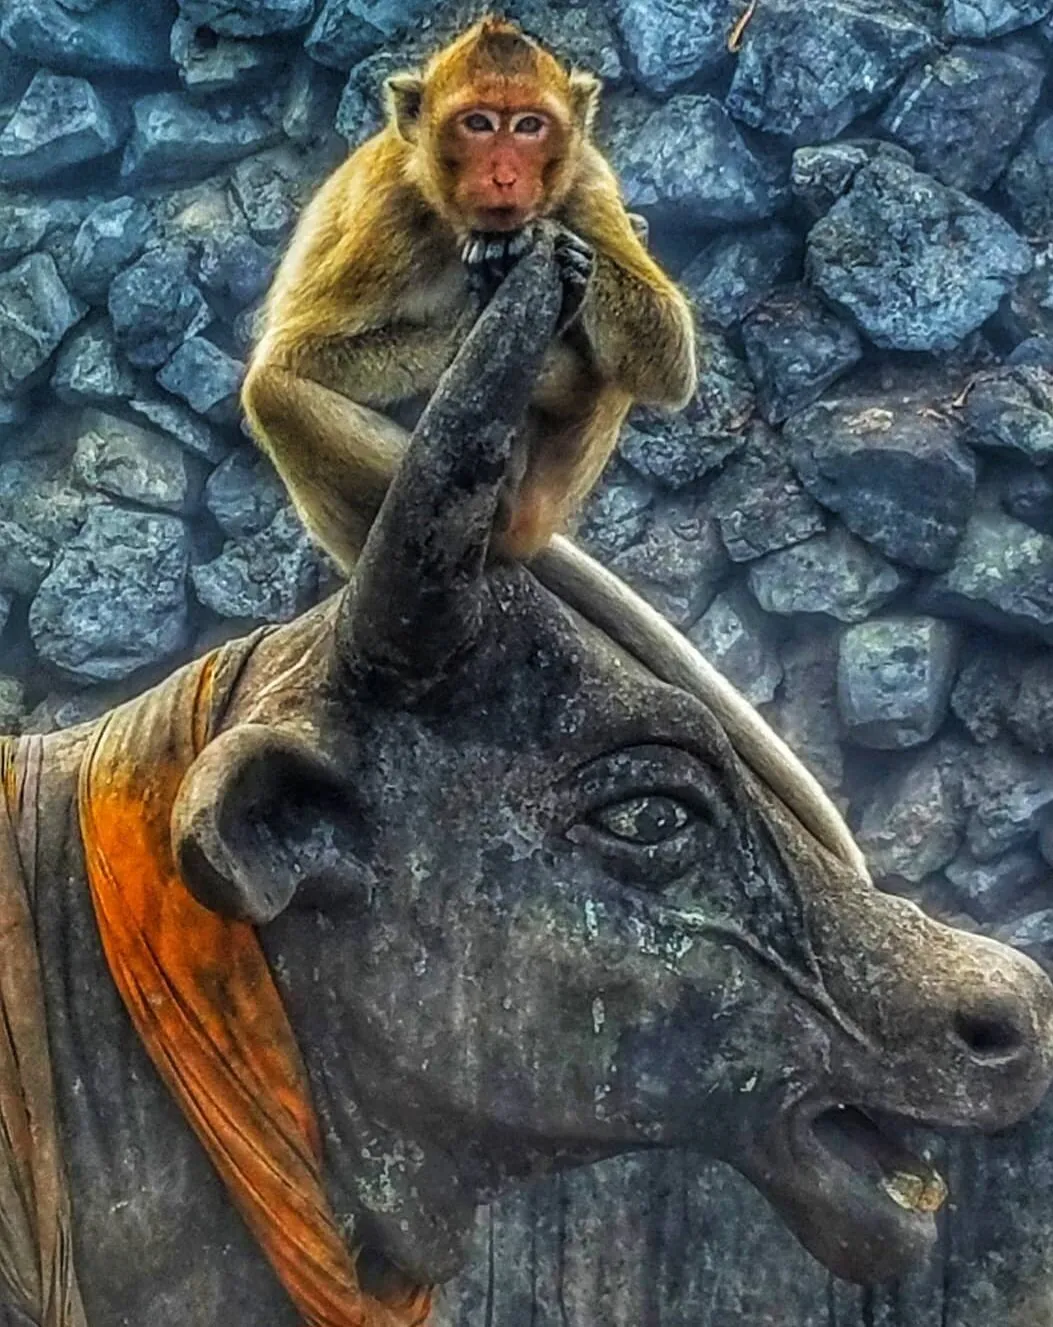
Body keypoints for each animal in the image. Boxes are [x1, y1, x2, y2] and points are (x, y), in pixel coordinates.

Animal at [242, 15, 697, 570]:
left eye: (528, 126)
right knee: (271, 392)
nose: (504, 176)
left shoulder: (587, 177)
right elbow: (293, 354)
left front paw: (556, 250)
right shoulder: (389, 218)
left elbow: (668, 358)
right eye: (477, 124)